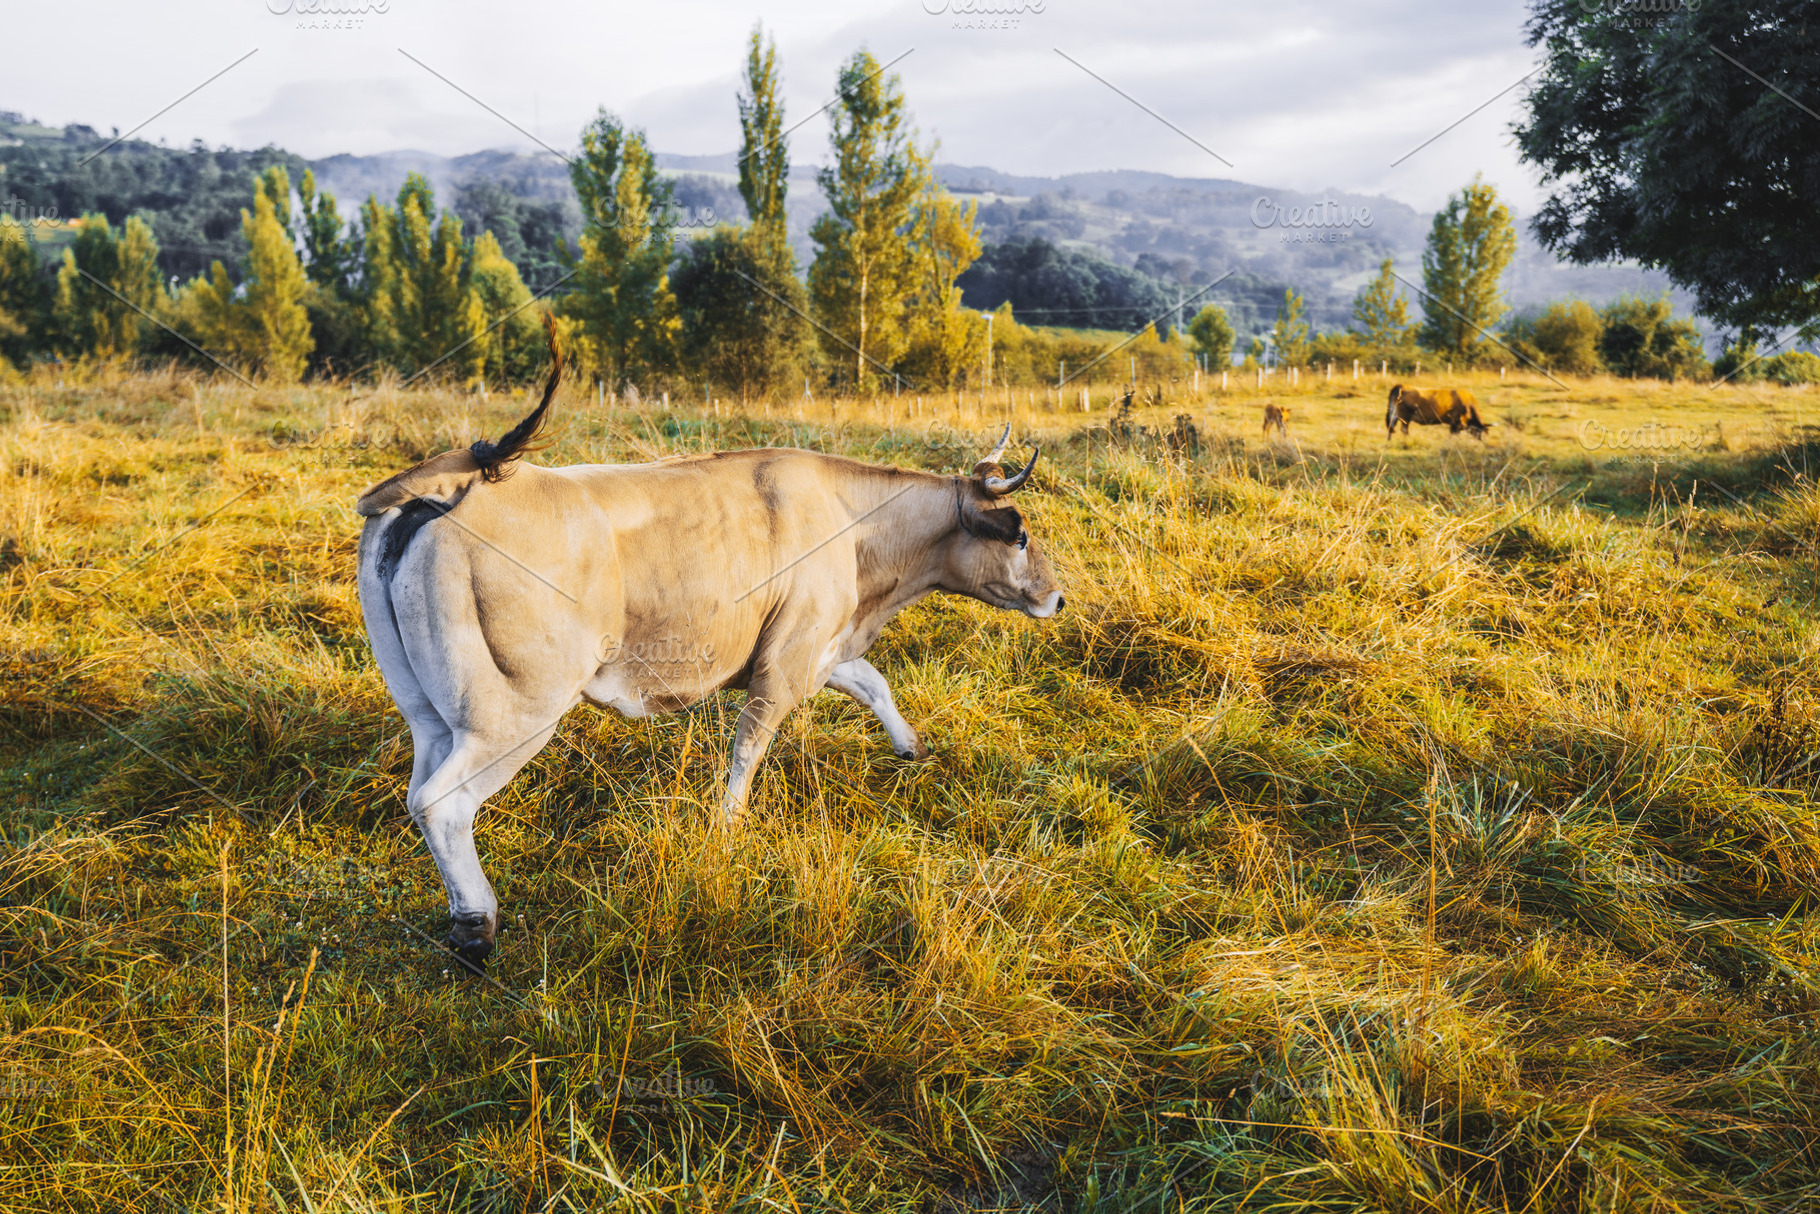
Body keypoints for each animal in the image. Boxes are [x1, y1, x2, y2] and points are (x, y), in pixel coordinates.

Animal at [355, 336, 1065, 967]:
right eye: (1020, 535)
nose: (1056, 598)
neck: (855, 529)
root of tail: (456, 481)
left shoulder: (819, 644)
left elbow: (873, 683)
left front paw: (909, 746)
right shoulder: (785, 664)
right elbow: (749, 749)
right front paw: (728, 830)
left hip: (429, 712)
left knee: (420, 789)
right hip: (512, 716)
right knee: (442, 804)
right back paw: (476, 925)